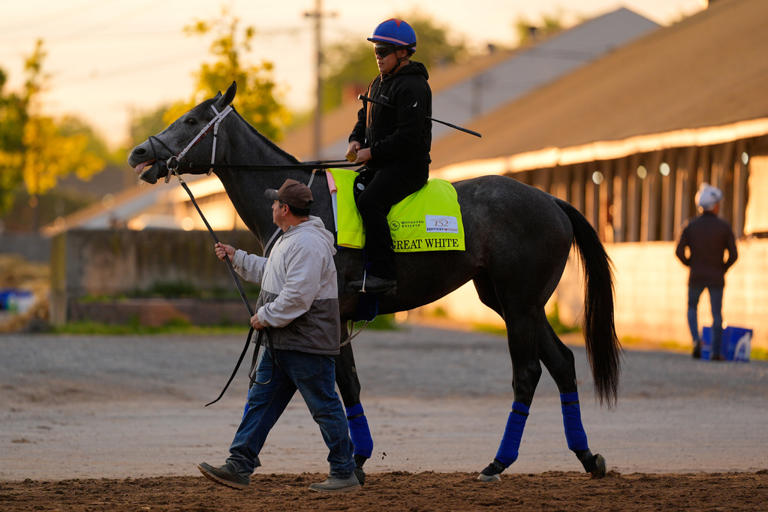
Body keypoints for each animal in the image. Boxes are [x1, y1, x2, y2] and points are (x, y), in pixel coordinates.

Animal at [128, 82, 620, 481]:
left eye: (192, 119)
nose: (139, 153)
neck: (309, 205)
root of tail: (553, 201)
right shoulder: (338, 317)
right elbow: (344, 383)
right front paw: (356, 457)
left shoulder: (330, 309)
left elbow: (340, 383)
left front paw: (353, 461)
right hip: (514, 302)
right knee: (562, 363)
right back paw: (586, 456)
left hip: (518, 304)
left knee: (528, 373)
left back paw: (498, 463)